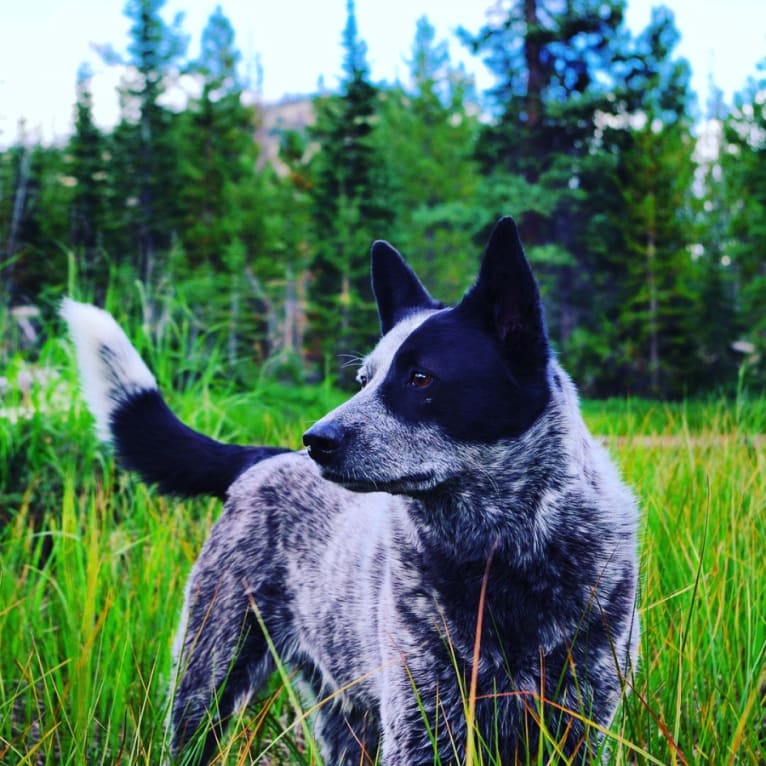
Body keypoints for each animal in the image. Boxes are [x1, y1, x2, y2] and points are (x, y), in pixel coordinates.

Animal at [63, 218, 640, 766]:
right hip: (209, 680)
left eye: (421, 378)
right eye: (364, 380)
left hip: (344, 715)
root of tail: (262, 458)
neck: (503, 549)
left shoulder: (580, 722)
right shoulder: (424, 723)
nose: (316, 440)